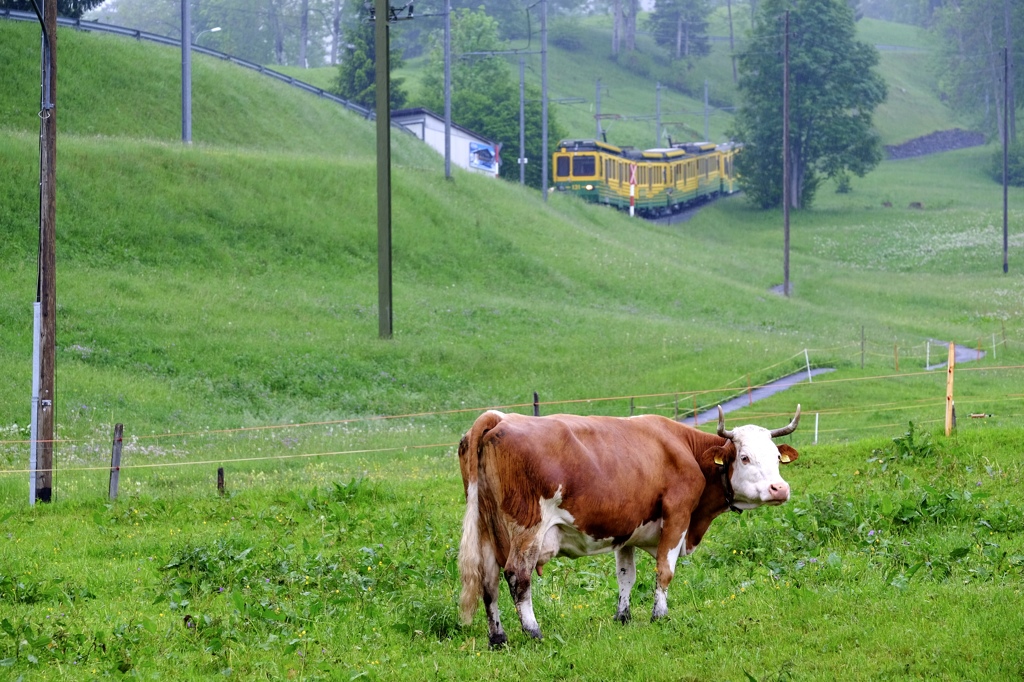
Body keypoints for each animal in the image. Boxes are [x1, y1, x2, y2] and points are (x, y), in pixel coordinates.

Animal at [456, 405, 798, 647]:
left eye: (776, 457)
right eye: (745, 457)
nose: (780, 489)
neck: (686, 449)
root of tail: (499, 417)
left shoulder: (629, 530)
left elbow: (626, 576)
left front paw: (623, 616)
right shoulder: (677, 516)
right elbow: (664, 571)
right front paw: (659, 616)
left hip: (486, 528)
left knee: (488, 580)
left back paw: (498, 638)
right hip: (528, 527)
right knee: (518, 576)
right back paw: (533, 632)